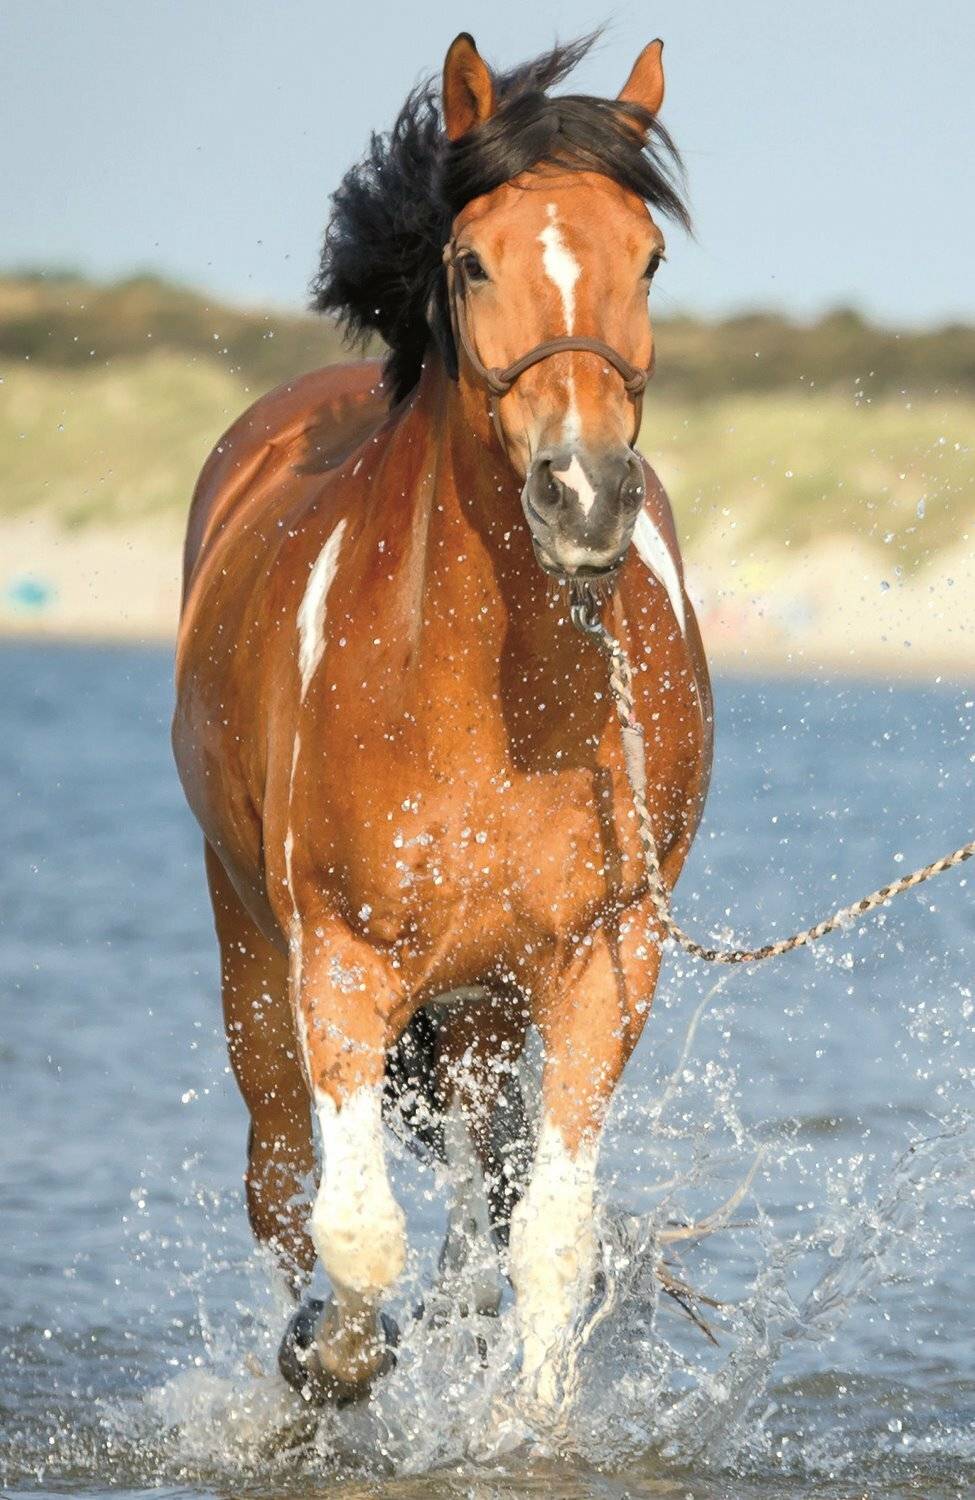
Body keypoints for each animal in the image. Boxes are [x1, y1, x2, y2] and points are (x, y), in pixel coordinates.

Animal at [172, 31, 712, 1414]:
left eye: (650, 257)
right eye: (473, 261)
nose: (583, 494)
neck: (490, 691)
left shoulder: (602, 962)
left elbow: (548, 1239)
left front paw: (526, 1422)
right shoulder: (341, 961)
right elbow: (355, 1233)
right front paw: (335, 1357)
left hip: (479, 1008)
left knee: (477, 1203)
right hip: (253, 954)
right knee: (277, 1183)